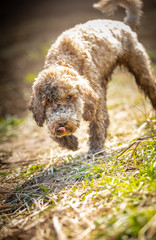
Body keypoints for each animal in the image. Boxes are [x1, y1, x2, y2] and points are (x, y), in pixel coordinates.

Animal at [29, 0, 156, 155]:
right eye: (48, 102)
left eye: (69, 97)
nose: (62, 123)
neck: (63, 58)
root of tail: (124, 25)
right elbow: (52, 129)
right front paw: (69, 142)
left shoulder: (95, 97)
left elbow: (96, 123)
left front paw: (95, 148)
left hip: (140, 69)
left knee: (151, 89)